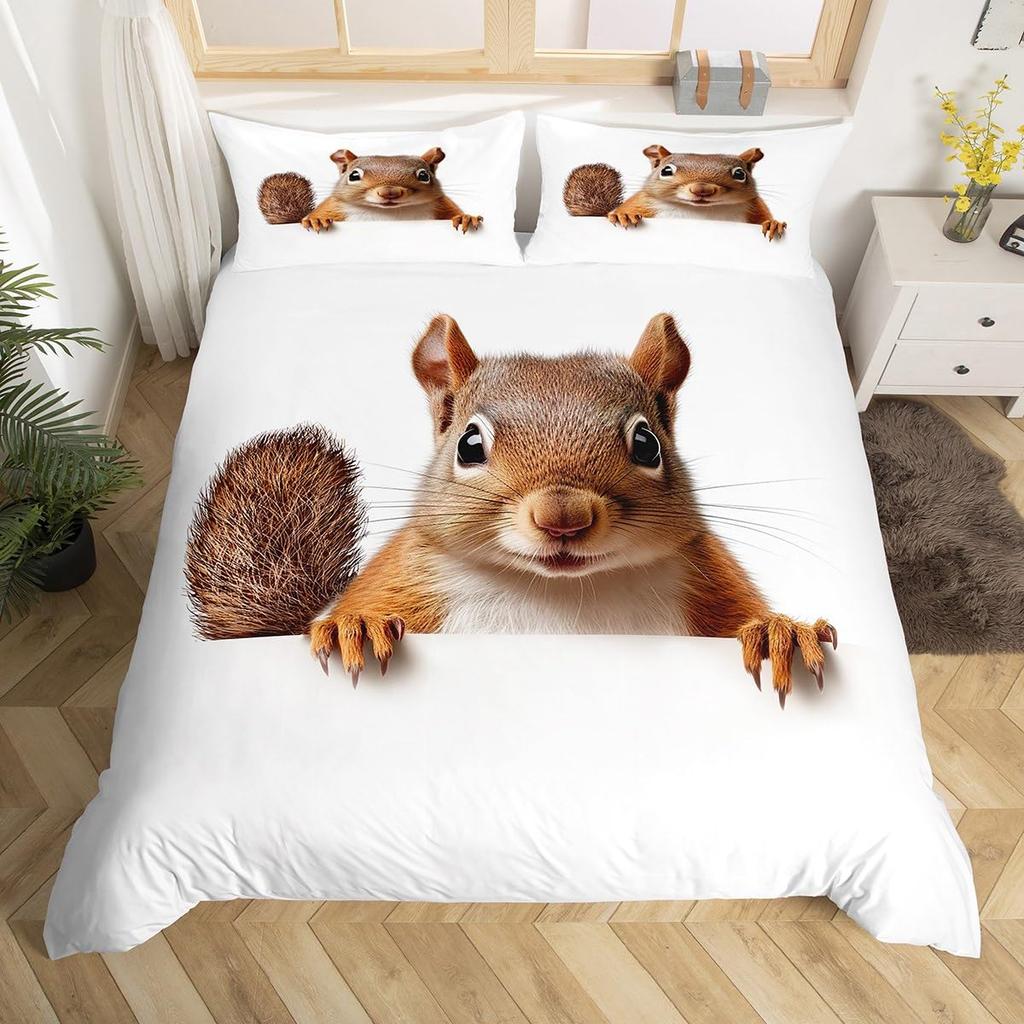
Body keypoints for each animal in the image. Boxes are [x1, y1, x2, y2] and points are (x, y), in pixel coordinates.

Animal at [256, 148, 483, 233]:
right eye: (354, 176)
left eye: (424, 175)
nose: (389, 192)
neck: (389, 214)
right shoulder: (333, 207)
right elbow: (318, 215)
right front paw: (316, 220)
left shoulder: (442, 205)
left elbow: (454, 214)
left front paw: (466, 218)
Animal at [305, 312, 836, 707]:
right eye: (469, 444)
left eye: (647, 444)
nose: (563, 518)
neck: (563, 592)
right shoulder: (405, 576)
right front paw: (359, 626)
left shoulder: (711, 579)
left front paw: (780, 632)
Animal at [563, 146, 786, 240]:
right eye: (666, 171)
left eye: (740, 174)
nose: (702, 189)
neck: (700, 213)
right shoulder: (643, 202)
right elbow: (626, 210)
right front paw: (622, 215)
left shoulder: (754, 207)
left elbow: (764, 218)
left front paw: (773, 224)